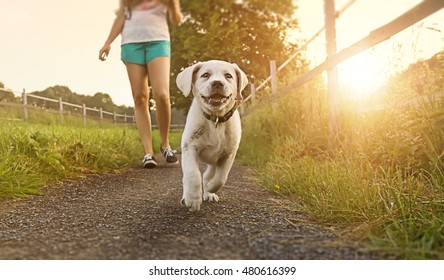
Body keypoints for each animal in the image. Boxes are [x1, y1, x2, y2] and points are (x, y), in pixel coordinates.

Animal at [176, 59, 248, 212]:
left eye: (228, 76)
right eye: (205, 75)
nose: (217, 83)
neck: (215, 119)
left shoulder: (229, 154)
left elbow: (221, 177)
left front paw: (210, 188)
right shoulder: (189, 147)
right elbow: (192, 174)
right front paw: (192, 199)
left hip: (214, 161)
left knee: (208, 175)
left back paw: (209, 193)